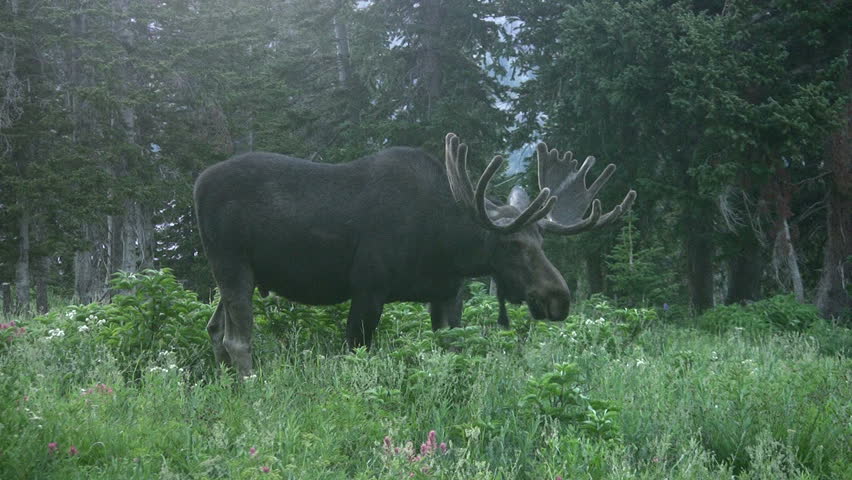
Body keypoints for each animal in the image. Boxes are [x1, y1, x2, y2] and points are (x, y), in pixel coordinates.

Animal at [193, 133, 635, 376]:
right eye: (512, 244)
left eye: (543, 242)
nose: (558, 298)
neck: (445, 245)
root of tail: (196, 186)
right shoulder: (368, 288)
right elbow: (357, 353)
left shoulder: (445, 294)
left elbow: (452, 350)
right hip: (232, 264)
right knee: (238, 339)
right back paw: (251, 389)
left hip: (235, 274)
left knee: (214, 329)